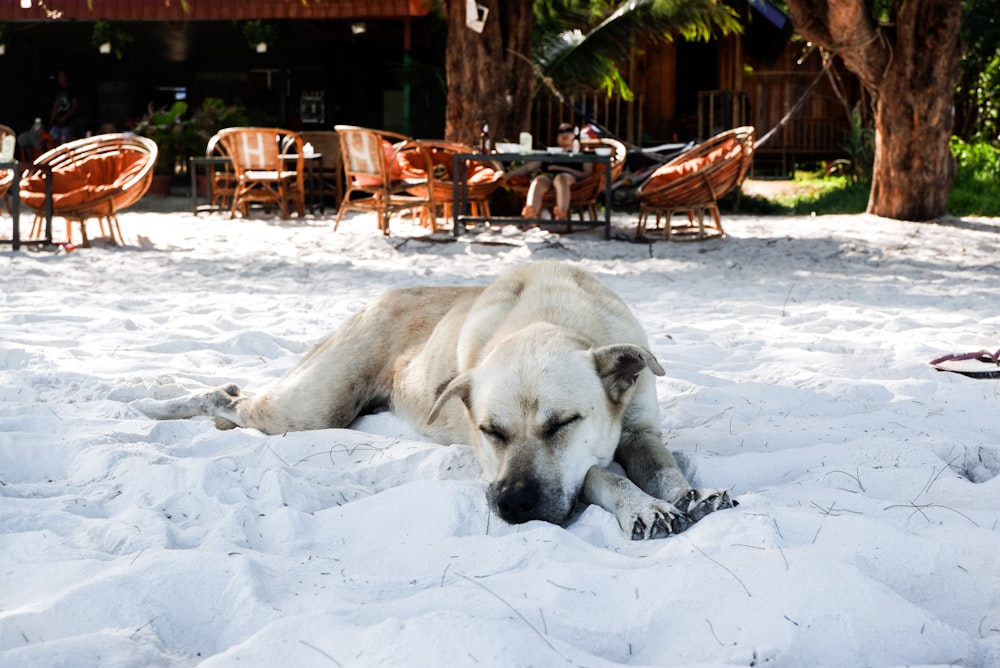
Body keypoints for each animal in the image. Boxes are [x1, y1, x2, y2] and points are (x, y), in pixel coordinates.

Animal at [137, 260, 736, 536]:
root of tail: (378, 297)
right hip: (307, 410)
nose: (512, 506)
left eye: (562, 423)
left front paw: (688, 495)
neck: (555, 317)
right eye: (490, 432)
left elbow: (661, 465)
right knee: (227, 396)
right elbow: (598, 474)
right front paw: (640, 505)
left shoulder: (640, 428)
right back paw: (155, 408)